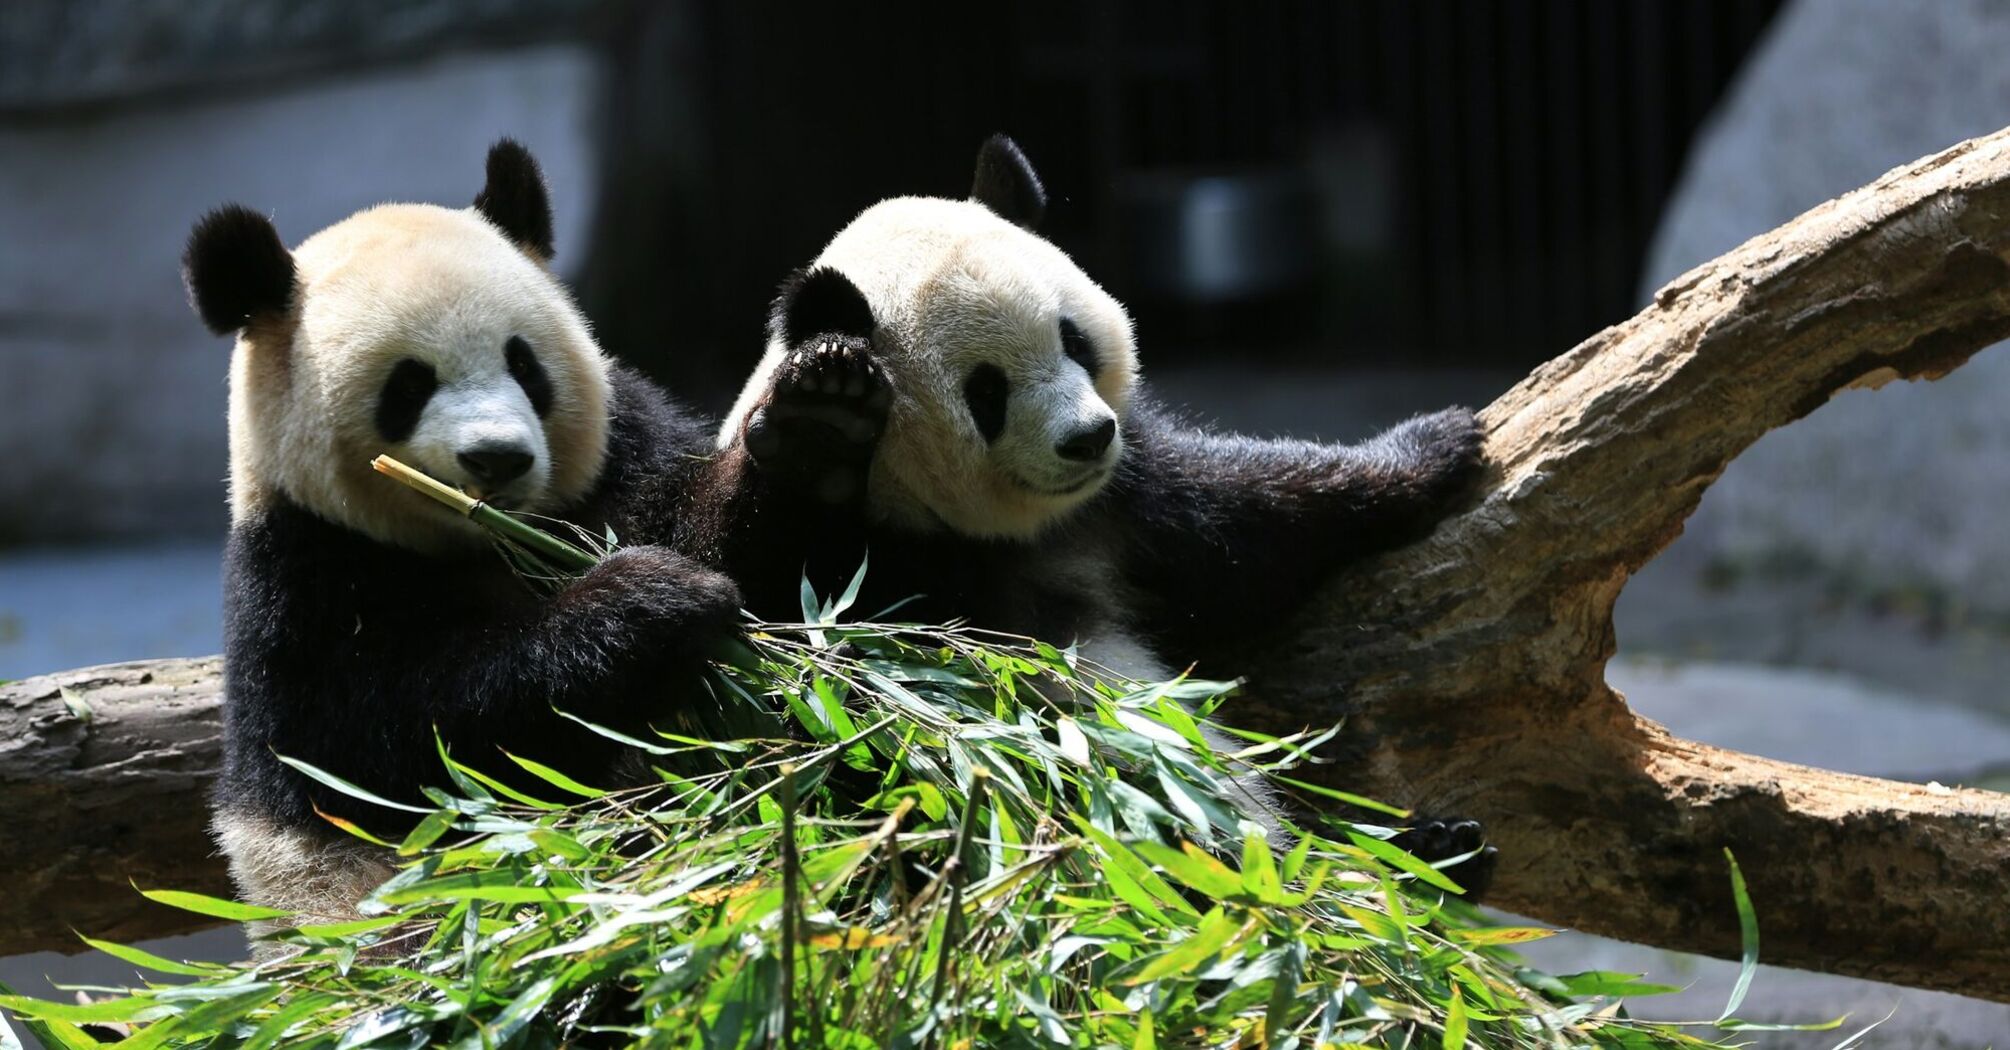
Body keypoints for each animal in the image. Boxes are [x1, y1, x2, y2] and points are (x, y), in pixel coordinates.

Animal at [185, 140, 741, 940]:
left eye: (524, 363)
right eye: (408, 385)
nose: (498, 459)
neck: (488, 540)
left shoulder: (622, 464)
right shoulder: (303, 584)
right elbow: (426, 742)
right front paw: (650, 601)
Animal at [696, 135, 1493, 887]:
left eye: (1072, 339)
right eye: (987, 392)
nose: (1088, 437)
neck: (975, 529)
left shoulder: (1121, 507)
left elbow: (1252, 525)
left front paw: (1435, 443)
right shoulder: (863, 567)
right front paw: (820, 427)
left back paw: (1437, 849)